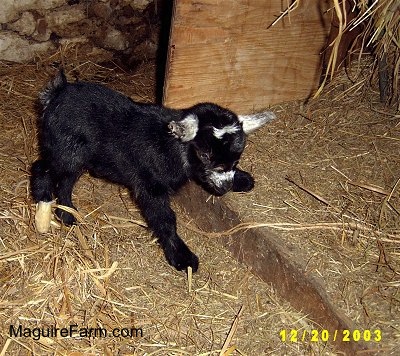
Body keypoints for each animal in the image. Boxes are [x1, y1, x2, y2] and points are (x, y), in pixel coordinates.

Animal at [30, 72, 276, 272]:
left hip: (76, 156)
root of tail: (56, 93)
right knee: (43, 169)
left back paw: (67, 215)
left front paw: (242, 179)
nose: (225, 187)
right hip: (65, 149)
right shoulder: (150, 186)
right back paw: (43, 213)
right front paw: (182, 257)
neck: (170, 146)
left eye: (237, 157)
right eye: (205, 154)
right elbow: (165, 219)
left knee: (65, 181)